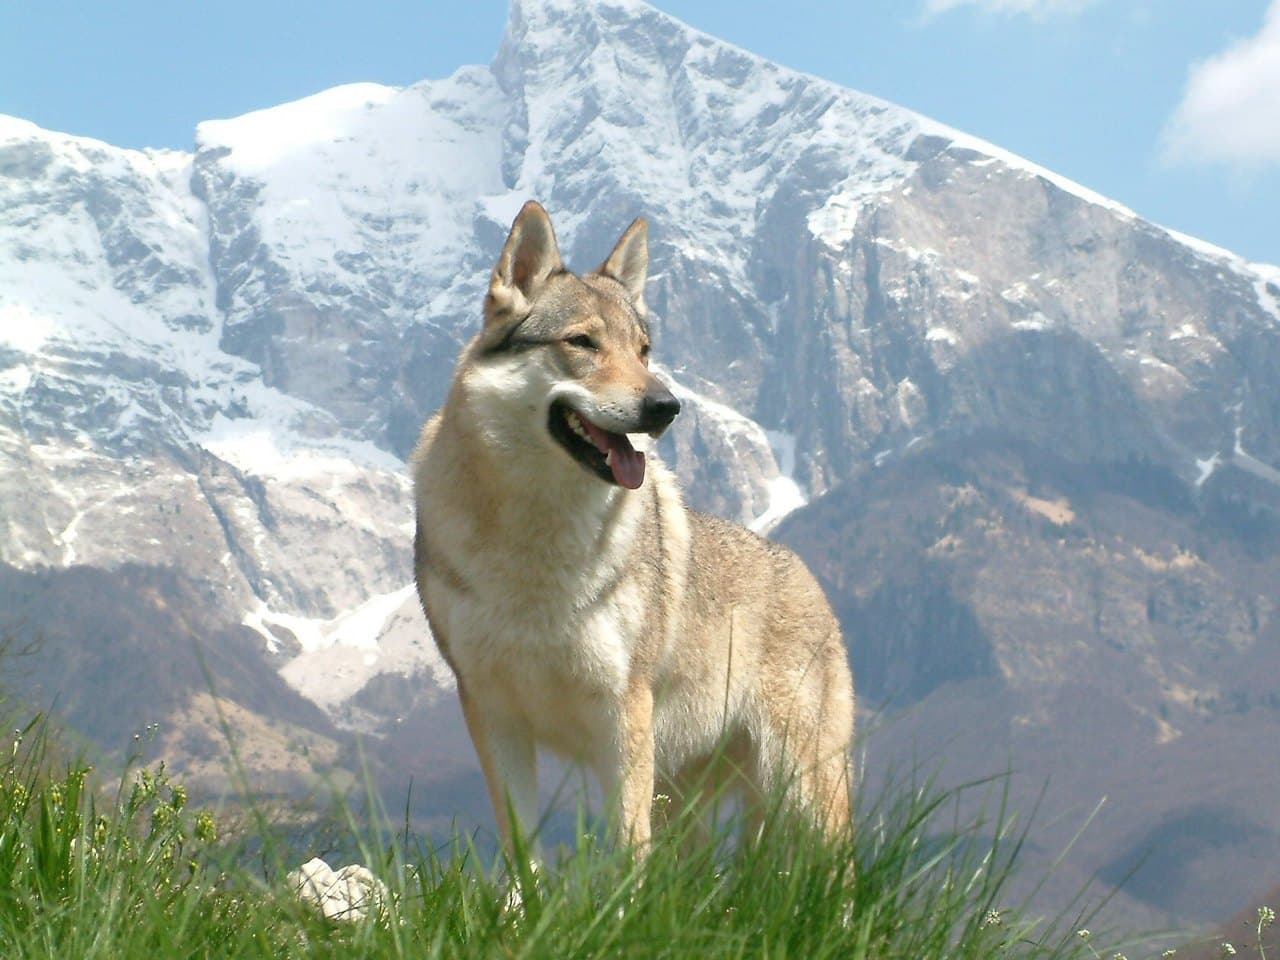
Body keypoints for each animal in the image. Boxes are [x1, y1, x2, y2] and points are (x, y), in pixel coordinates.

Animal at [411, 201, 854, 859]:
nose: (667, 407)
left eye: (643, 350)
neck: (536, 539)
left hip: (797, 790)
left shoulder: (622, 713)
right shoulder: (492, 711)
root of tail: (807, 577)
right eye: (582, 342)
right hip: (691, 797)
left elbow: (627, 850)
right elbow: (523, 850)